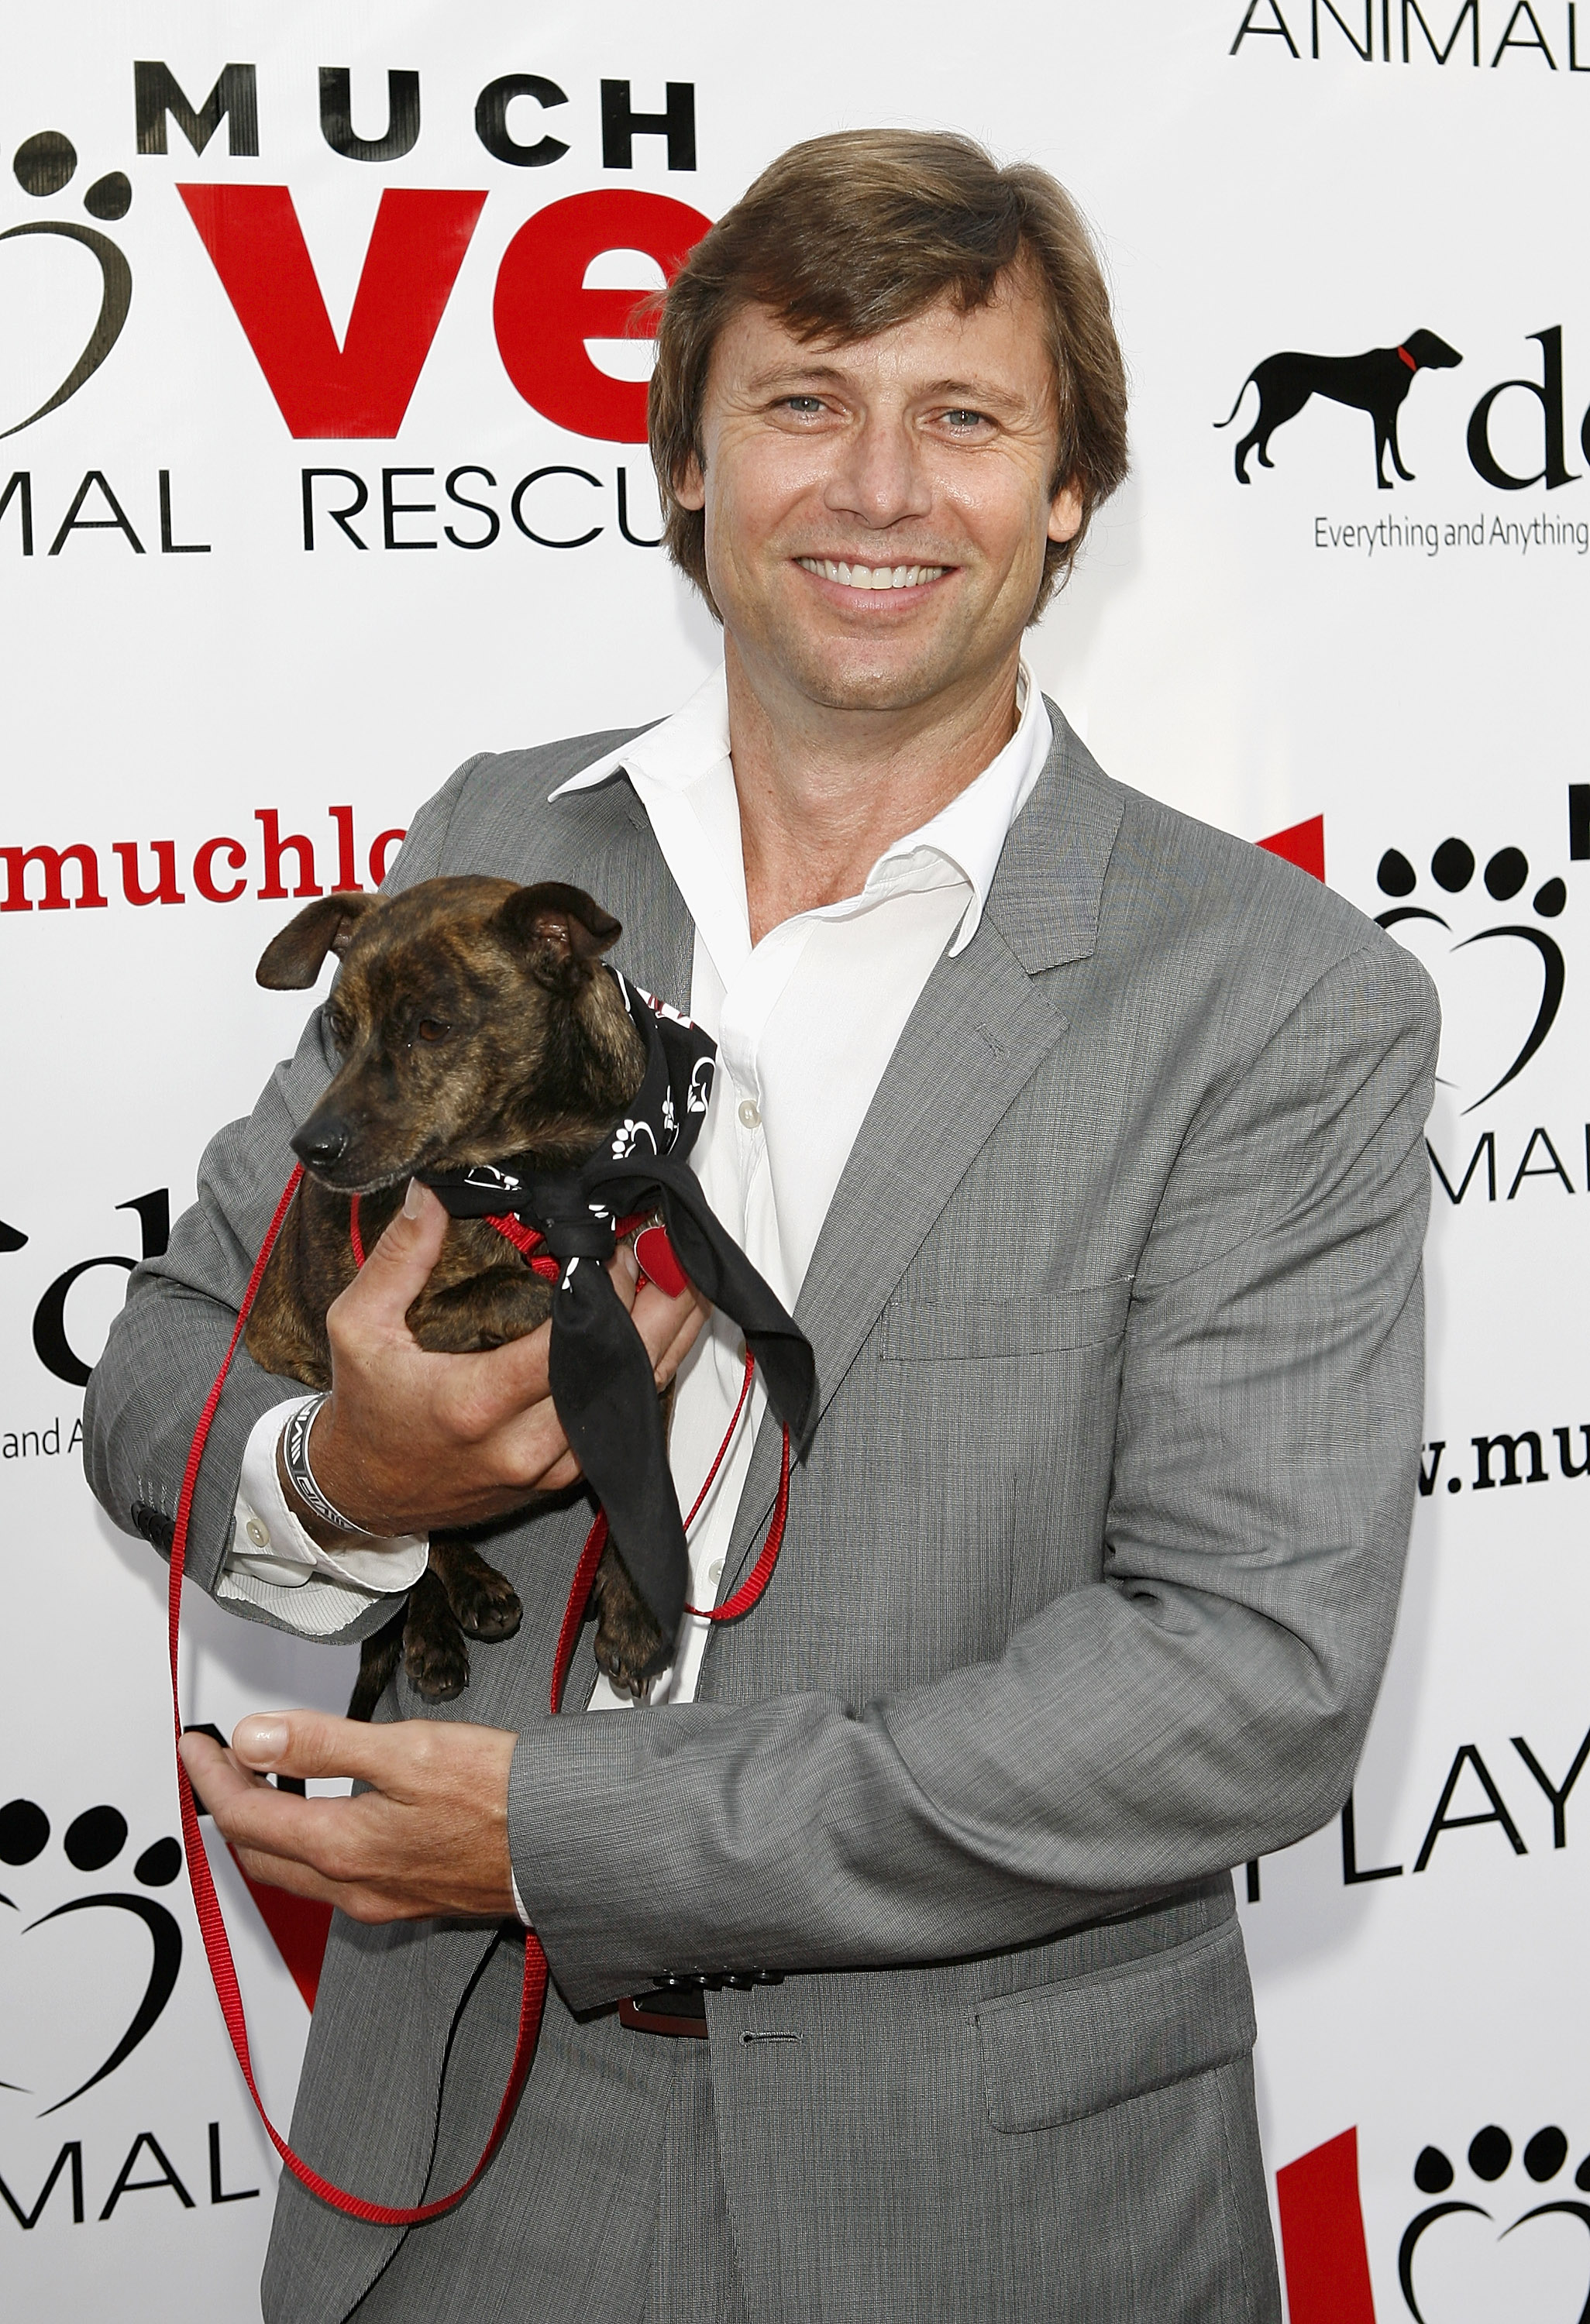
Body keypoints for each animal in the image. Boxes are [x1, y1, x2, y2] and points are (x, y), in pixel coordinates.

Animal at [242, 878, 669, 1720]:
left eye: (432, 1027)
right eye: (339, 1029)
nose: (311, 1148)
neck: (543, 1178)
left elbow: (638, 1487)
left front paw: (633, 1615)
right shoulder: (396, 1323)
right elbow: (510, 1287)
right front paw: (556, 1299)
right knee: (416, 1541)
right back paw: (447, 1616)